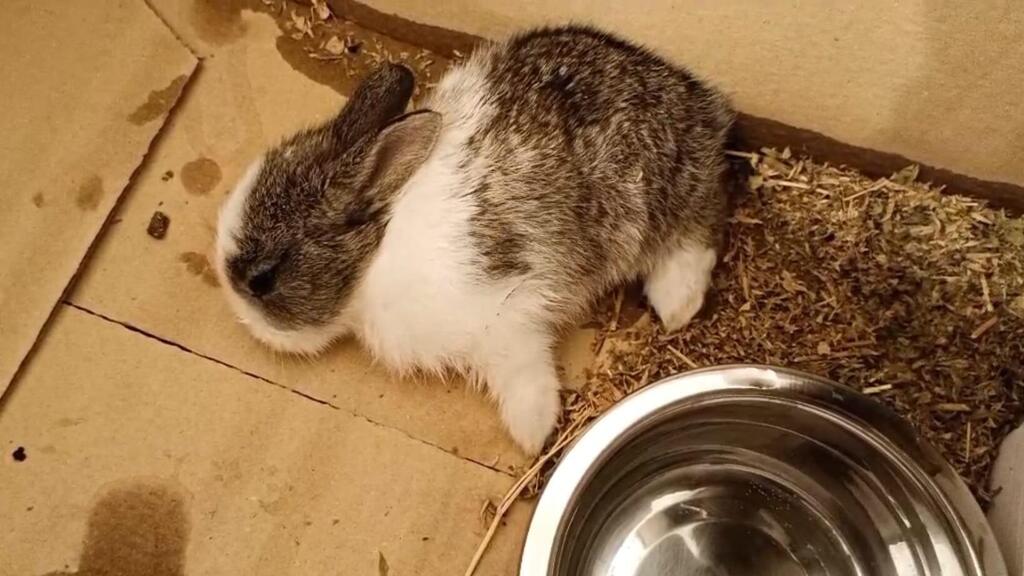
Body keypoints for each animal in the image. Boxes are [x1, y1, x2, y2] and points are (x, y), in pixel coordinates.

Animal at [214, 25, 735, 454]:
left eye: (262, 279)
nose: (241, 317)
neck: (376, 249)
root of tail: (703, 109)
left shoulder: (505, 319)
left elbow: (525, 372)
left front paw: (534, 433)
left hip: (667, 199)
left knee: (699, 228)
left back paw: (677, 306)